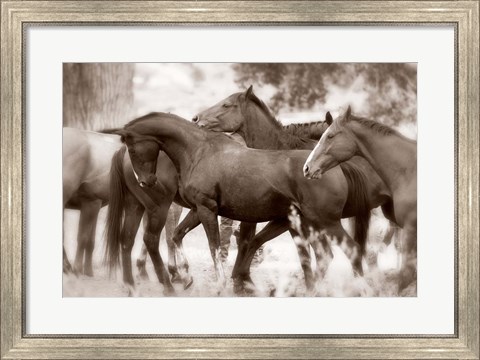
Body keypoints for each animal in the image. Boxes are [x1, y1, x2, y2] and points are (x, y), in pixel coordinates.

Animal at [109, 113, 372, 296]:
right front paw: (187, 277)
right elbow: (178, 235)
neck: (198, 152)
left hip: (324, 222)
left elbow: (214, 246)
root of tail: (331, 170)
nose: (146, 181)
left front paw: (220, 284)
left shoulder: (206, 209)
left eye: (133, 146)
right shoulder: (199, 209)